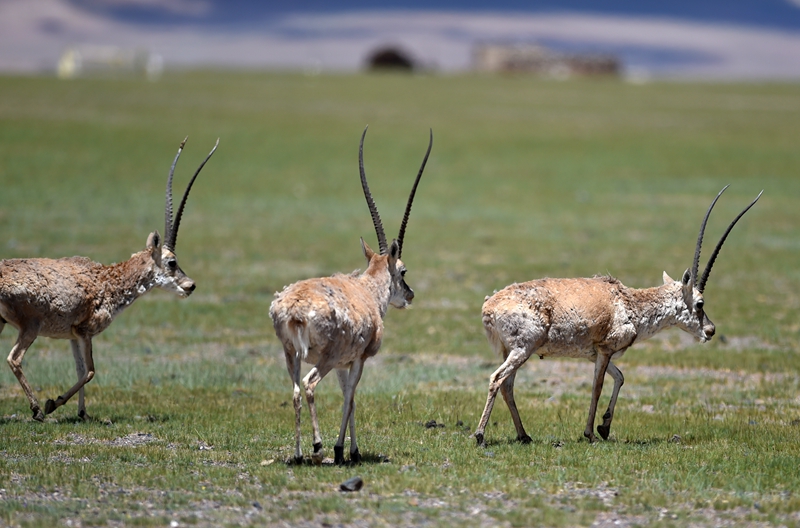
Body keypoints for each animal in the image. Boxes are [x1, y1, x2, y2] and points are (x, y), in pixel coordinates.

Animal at [0, 137, 219, 420]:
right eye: (172, 262)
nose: (190, 286)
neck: (107, 278)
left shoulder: (73, 336)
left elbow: (80, 370)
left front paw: (82, 414)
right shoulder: (85, 332)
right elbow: (91, 371)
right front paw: (53, 403)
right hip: (31, 326)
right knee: (14, 359)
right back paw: (37, 410)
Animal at [268, 126, 432, 464]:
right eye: (403, 270)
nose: (409, 295)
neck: (367, 291)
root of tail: (295, 309)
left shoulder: (344, 365)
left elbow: (349, 397)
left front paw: (348, 448)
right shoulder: (357, 360)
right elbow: (352, 398)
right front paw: (345, 450)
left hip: (291, 355)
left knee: (295, 391)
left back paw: (299, 454)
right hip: (324, 359)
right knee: (309, 385)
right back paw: (318, 447)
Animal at [476, 186, 764, 446]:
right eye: (700, 302)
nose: (710, 330)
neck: (628, 302)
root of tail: (490, 306)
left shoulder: (596, 353)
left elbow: (621, 377)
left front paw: (604, 427)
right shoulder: (605, 350)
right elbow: (597, 387)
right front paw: (591, 434)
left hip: (513, 351)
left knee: (507, 386)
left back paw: (524, 436)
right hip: (523, 349)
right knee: (497, 379)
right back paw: (480, 436)